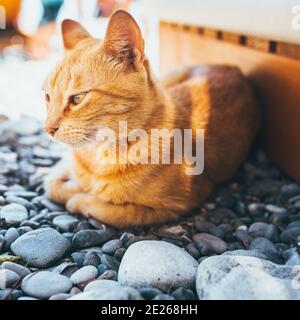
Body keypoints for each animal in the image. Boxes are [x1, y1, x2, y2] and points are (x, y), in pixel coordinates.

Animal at [42, 10, 260, 228]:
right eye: (47, 97)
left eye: (77, 98)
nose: (48, 129)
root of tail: (234, 68)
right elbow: (52, 182)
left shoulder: (174, 206)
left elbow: (105, 208)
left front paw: (81, 195)